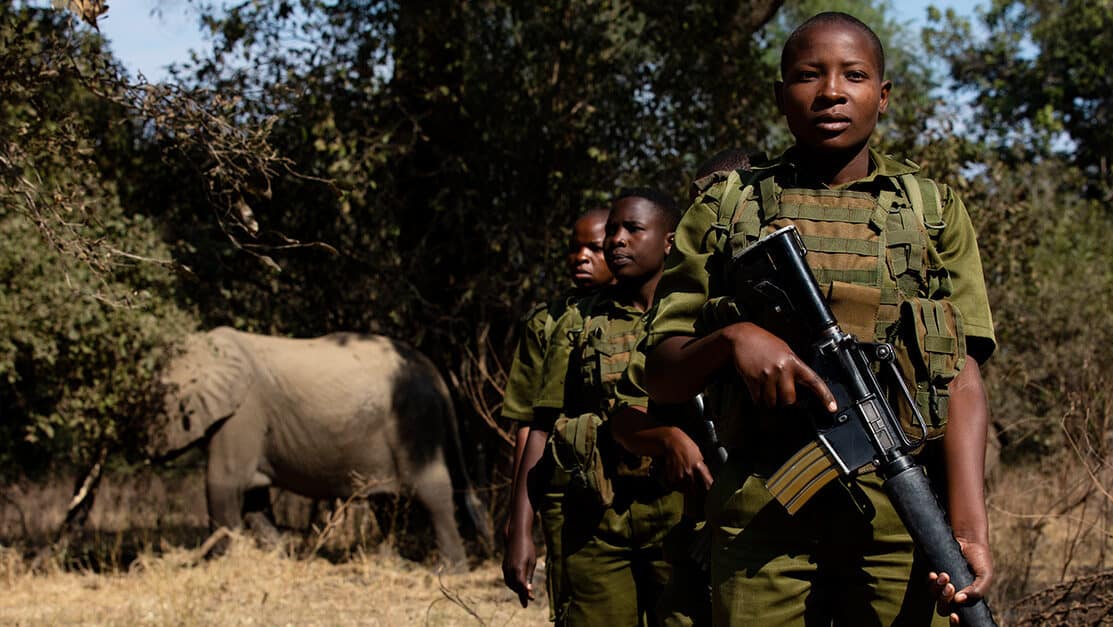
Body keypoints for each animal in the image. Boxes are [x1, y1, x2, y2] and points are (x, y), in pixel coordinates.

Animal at [147, 326, 493, 564]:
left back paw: (448, 571)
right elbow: (253, 497)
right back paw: (387, 562)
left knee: (430, 489)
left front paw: (221, 565)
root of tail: (434, 373)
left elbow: (223, 483)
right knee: (387, 501)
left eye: (157, 401)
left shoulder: (242, 413)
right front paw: (278, 558)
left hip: (414, 419)